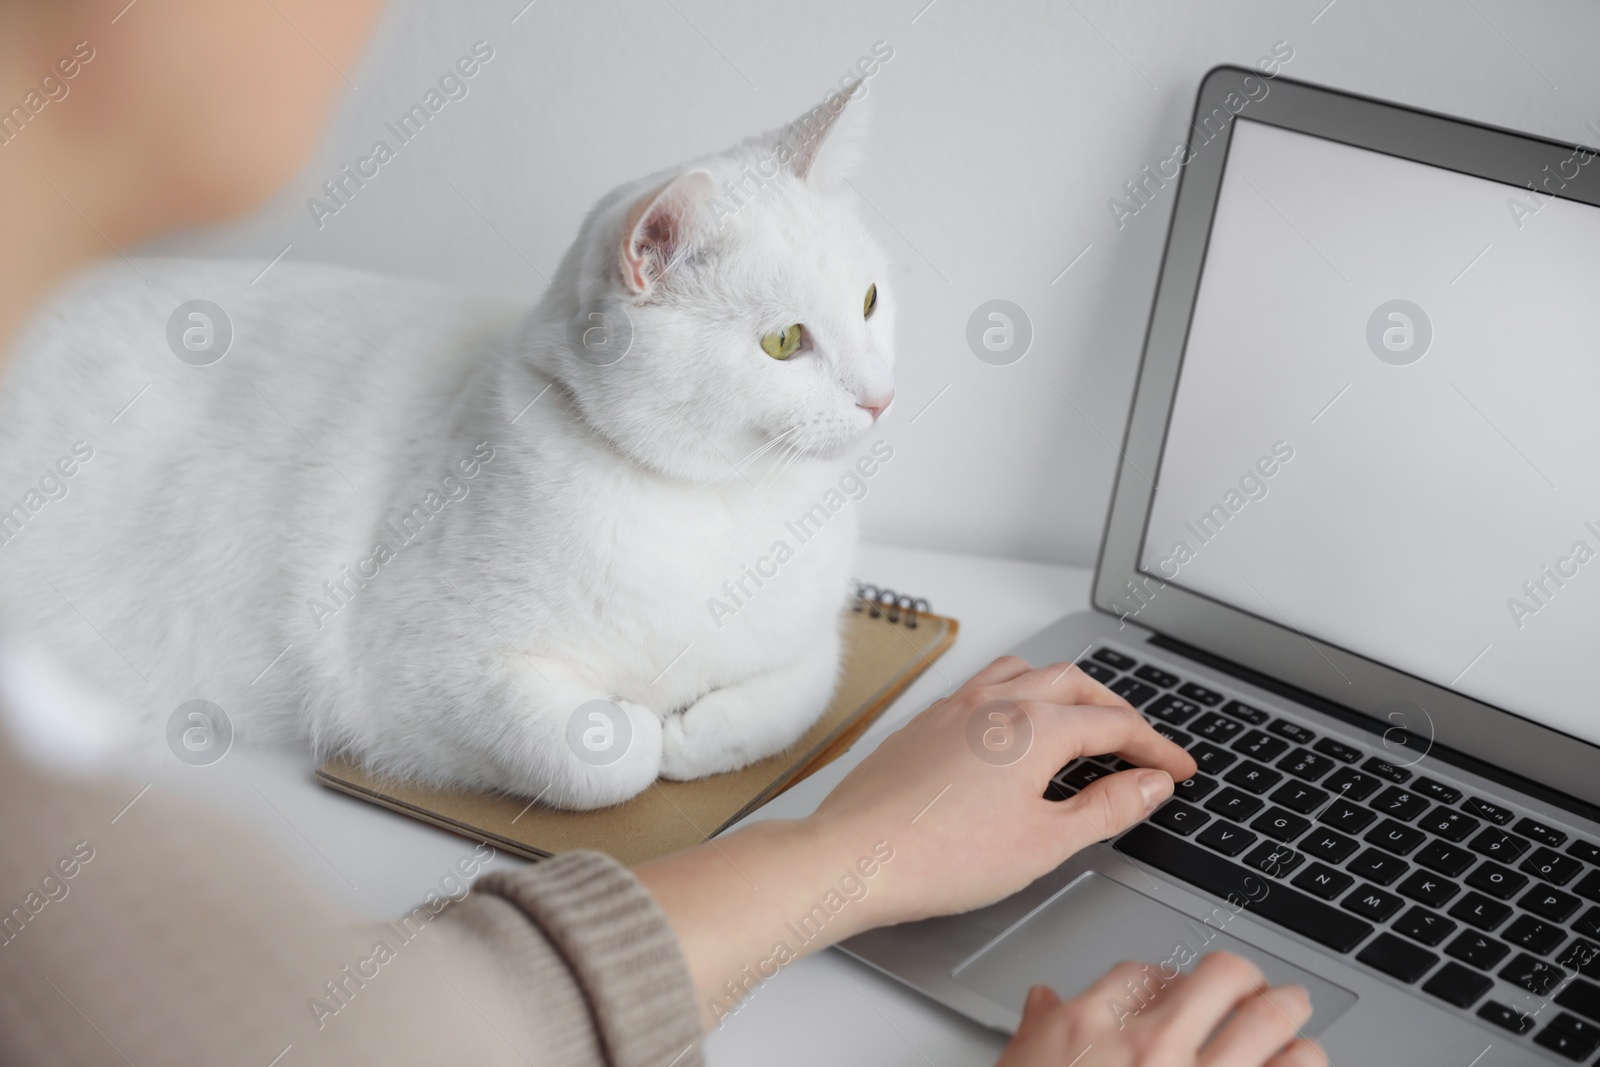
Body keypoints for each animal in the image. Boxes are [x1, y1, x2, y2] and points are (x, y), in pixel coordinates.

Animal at [0, 93, 902, 809]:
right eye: (784, 342)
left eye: (868, 299)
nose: (880, 398)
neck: (715, 507)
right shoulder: (421, 683)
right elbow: (605, 758)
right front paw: (648, 729)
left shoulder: (816, 640)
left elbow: (801, 692)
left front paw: (700, 728)